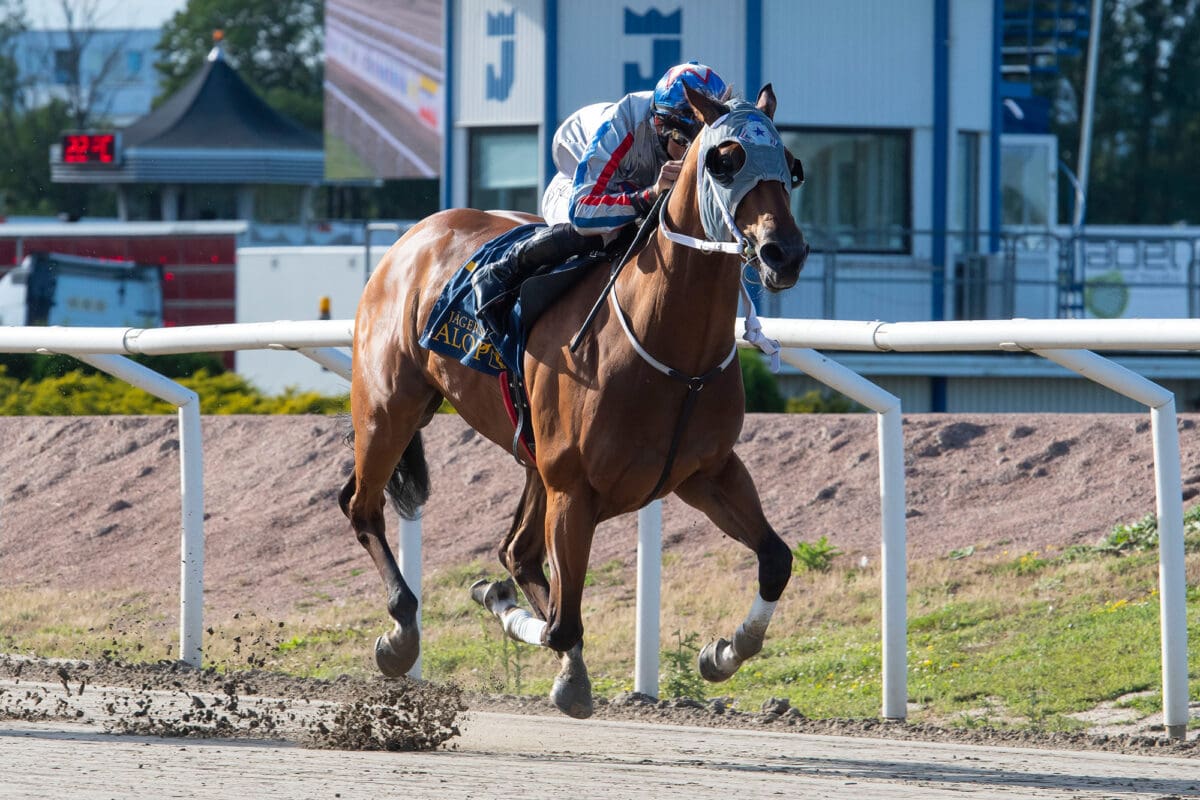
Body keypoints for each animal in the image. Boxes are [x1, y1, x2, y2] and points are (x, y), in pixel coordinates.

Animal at [338, 86, 806, 719]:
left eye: (791, 166)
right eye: (725, 160)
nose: (785, 253)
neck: (671, 350)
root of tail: (414, 236)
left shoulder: (707, 473)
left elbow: (776, 559)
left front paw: (723, 652)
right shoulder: (575, 485)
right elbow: (561, 622)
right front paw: (510, 617)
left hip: (529, 456)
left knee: (517, 551)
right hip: (390, 408)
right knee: (362, 506)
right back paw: (400, 634)